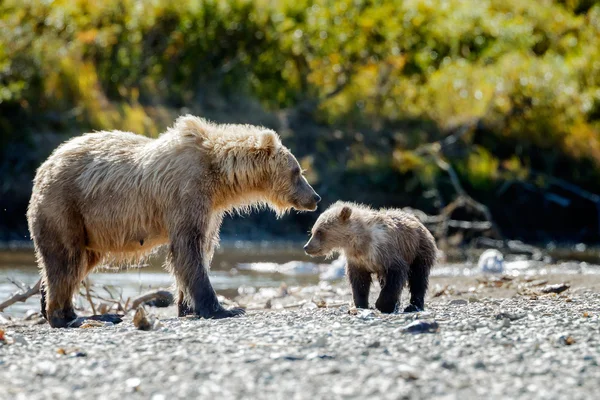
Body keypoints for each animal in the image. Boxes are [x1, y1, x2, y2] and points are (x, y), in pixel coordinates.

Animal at [27, 115, 322, 328]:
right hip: (65, 206)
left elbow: (200, 249)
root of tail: (42, 167)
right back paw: (74, 317)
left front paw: (188, 306)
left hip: (87, 226)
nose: (315, 197)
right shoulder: (185, 193)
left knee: (76, 263)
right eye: (297, 171)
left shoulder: (209, 209)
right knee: (66, 261)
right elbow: (187, 249)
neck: (220, 180)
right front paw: (224, 308)